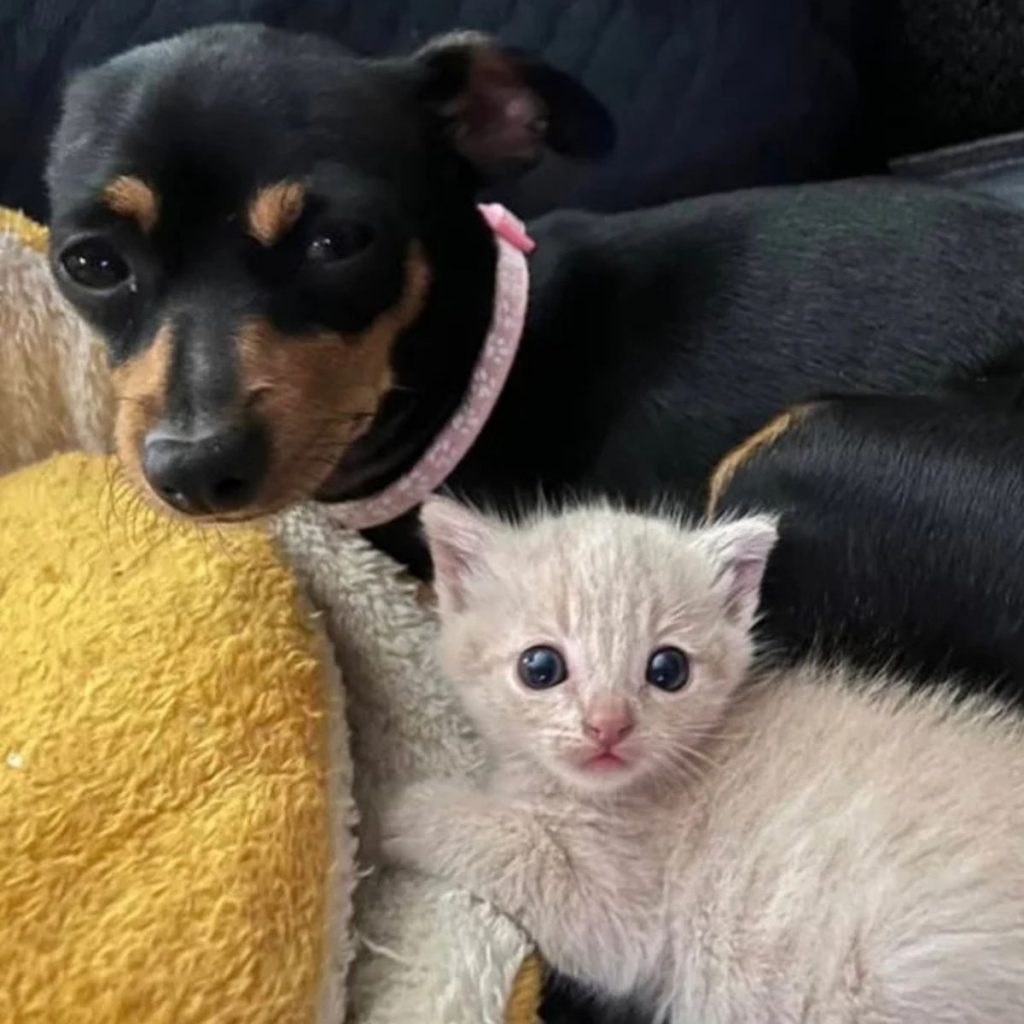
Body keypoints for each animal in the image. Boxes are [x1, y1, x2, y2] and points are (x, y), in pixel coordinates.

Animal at [382, 499, 1024, 1019]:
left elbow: (517, 848)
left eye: (668, 670)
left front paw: (407, 807)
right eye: (539, 667)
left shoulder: (621, 920)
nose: (608, 724)